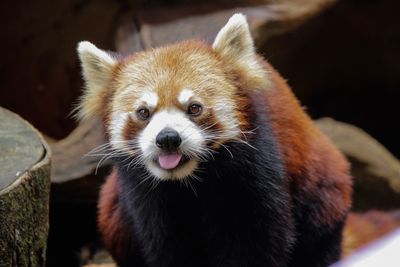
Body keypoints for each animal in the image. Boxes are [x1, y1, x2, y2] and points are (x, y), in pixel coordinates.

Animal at [77, 13, 350, 267]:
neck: (189, 183)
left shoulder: (257, 177)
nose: (168, 138)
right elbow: (166, 249)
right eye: (143, 112)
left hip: (322, 196)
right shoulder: (147, 202)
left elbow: (255, 244)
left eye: (194, 108)